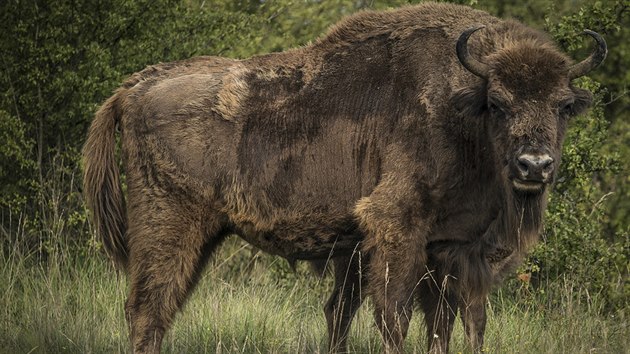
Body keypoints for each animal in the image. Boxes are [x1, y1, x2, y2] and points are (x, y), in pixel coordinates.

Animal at [82, 1, 608, 352]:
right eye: (498, 103)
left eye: (564, 105)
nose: (534, 165)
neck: (463, 107)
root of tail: (135, 86)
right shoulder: (396, 230)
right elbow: (394, 315)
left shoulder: (452, 247)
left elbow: (453, 321)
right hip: (170, 225)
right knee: (148, 308)